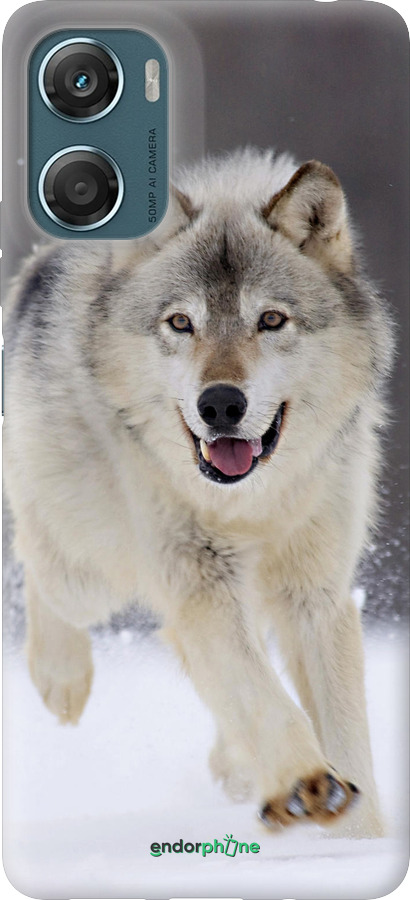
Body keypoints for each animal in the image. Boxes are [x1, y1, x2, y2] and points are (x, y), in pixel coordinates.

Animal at [3, 148, 394, 837]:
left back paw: (236, 766)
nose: (220, 405)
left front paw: (359, 837)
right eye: (181, 323)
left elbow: (344, 733)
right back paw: (61, 679)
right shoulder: (198, 581)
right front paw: (306, 783)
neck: (252, 503)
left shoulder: (315, 594)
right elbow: (261, 695)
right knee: (38, 562)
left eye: (271, 320)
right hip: (91, 571)